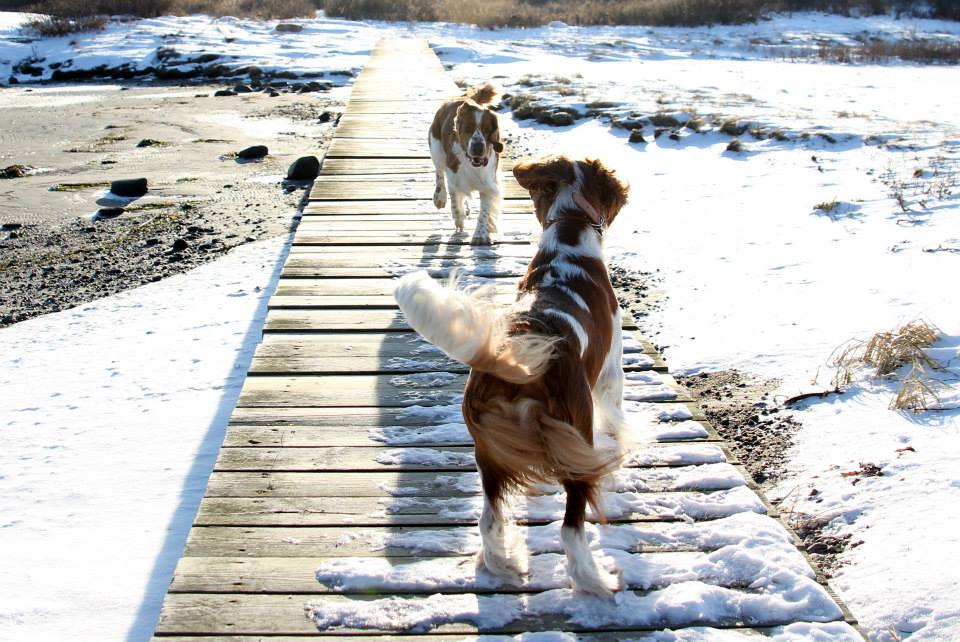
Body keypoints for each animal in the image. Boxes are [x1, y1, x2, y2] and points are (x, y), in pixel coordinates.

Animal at [395, 155, 630, 596]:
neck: (569, 234)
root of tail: (514, 364)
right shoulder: (611, 373)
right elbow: (617, 419)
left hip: (487, 452)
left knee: (489, 518)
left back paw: (503, 563)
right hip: (576, 430)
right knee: (571, 528)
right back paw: (596, 581)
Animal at [429, 82, 504, 245]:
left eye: (487, 130)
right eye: (468, 128)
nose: (478, 147)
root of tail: (461, 97)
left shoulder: (488, 183)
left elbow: (484, 211)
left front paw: (480, 235)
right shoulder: (454, 178)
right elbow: (455, 203)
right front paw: (459, 220)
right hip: (436, 150)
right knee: (439, 174)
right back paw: (440, 198)